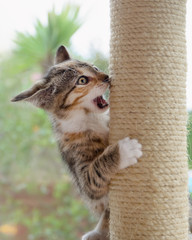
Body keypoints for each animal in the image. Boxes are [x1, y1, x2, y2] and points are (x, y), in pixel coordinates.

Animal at [11, 45, 142, 240]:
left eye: (94, 67)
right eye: (82, 80)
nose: (106, 77)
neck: (90, 118)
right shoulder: (84, 177)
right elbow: (97, 172)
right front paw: (125, 150)